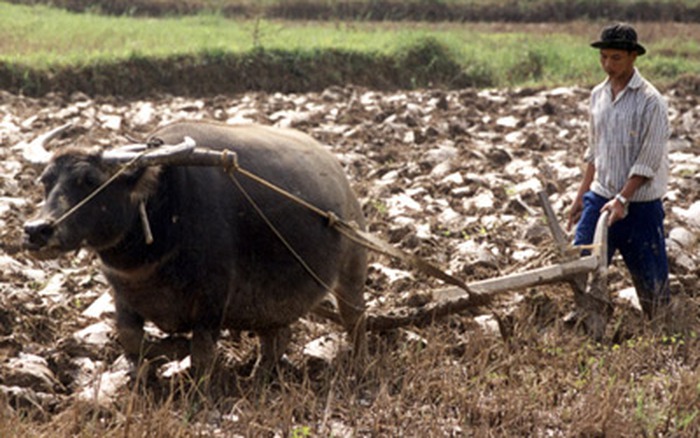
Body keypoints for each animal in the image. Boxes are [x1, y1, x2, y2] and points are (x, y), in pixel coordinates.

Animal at [24, 120, 370, 376]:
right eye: (46, 181)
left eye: (89, 181)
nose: (36, 230)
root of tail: (342, 180)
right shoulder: (122, 296)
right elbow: (132, 340)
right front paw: (170, 351)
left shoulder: (212, 301)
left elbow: (202, 353)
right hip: (269, 303)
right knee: (276, 336)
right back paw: (258, 374)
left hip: (352, 271)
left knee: (355, 320)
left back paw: (358, 363)